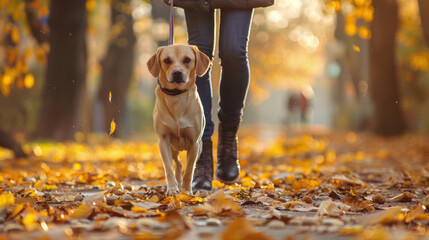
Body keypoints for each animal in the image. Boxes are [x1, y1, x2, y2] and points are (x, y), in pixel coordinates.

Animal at [146, 44, 210, 195]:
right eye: (167, 60)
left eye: (187, 60)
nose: (177, 73)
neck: (176, 97)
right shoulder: (163, 141)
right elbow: (168, 167)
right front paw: (172, 189)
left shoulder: (194, 143)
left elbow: (189, 170)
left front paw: (186, 192)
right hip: (173, 148)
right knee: (178, 163)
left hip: (199, 148)